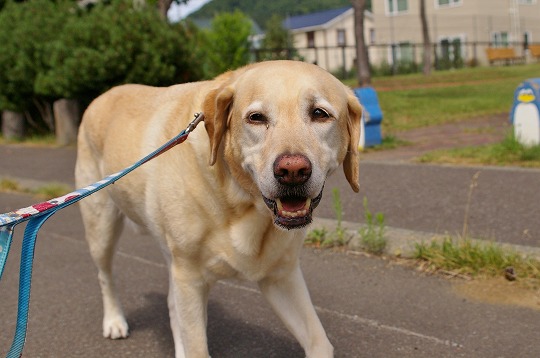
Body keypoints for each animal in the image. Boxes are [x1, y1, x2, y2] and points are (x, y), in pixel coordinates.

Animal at [76, 60, 360, 356]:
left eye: (319, 114)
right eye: (256, 117)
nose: (292, 171)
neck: (243, 204)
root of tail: (103, 95)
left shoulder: (281, 276)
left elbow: (320, 342)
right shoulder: (190, 279)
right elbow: (197, 347)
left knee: (171, 305)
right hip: (102, 229)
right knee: (105, 276)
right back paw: (114, 321)